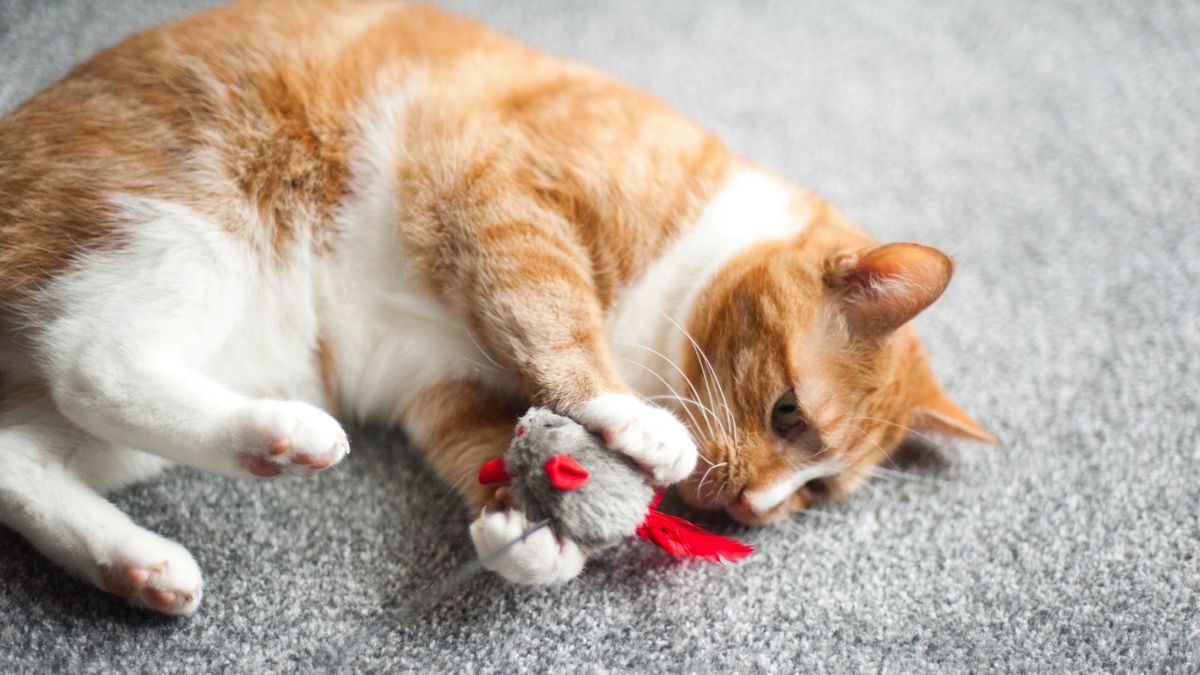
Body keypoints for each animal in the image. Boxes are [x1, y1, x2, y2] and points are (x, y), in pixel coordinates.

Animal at [0, 0, 993, 612]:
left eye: (815, 492)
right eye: (787, 412)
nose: (753, 507)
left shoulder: (443, 384)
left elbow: (486, 444)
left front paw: (527, 535)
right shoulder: (502, 197)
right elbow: (555, 321)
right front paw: (634, 423)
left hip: (170, 389)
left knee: (21, 459)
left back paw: (141, 564)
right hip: (191, 223)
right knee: (92, 361)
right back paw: (281, 439)